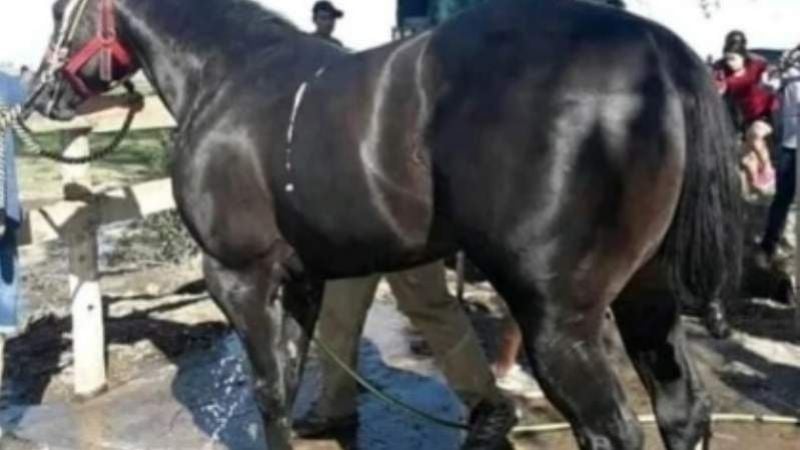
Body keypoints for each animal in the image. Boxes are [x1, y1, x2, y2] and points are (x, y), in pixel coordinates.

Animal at [26, 0, 742, 449]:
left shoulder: (237, 276)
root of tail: (662, 52)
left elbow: (267, 392)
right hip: (647, 294)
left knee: (610, 430)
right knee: (681, 411)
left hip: (560, 321)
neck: (227, 76)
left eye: (61, 11)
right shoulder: (303, 279)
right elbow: (290, 377)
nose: (45, 95)